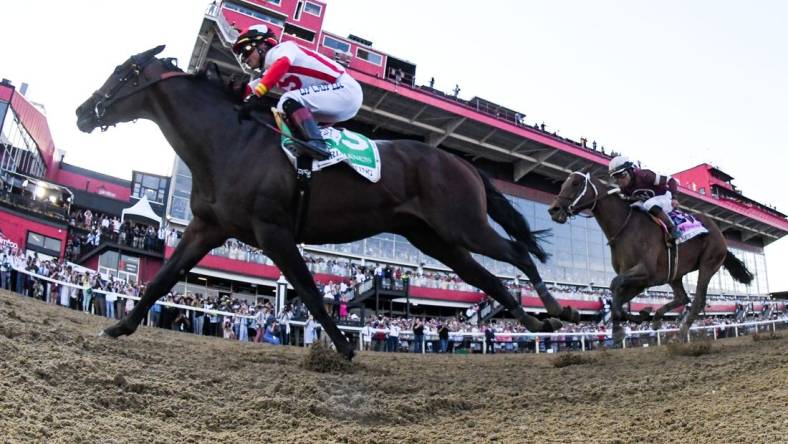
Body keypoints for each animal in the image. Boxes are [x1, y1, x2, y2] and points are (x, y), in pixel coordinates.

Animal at [75, 45, 580, 360]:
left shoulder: (273, 231)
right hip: (434, 237)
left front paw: (344, 347)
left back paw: (557, 311)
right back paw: (534, 321)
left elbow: (311, 293)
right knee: (485, 277)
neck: (229, 141)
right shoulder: (207, 227)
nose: (82, 112)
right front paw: (118, 327)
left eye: (123, 72)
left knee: (517, 255)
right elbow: (161, 279)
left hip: (462, 224)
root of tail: (462, 161)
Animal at [544, 170, 756, 340]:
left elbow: (614, 286)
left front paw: (627, 323)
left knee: (698, 301)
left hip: (708, 263)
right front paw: (635, 319)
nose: (553, 209)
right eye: (563, 183)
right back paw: (657, 318)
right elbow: (618, 296)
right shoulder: (641, 279)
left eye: (575, 183)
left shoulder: (646, 271)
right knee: (682, 298)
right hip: (675, 273)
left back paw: (680, 333)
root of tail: (719, 233)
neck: (625, 227)